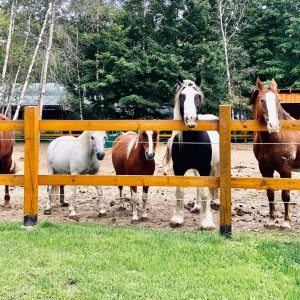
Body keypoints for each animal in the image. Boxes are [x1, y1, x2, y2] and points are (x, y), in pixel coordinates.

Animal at [164, 75, 220, 230]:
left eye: (197, 96)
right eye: (182, 96)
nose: (190, 119)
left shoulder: (205, 168)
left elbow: (205, 192)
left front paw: (206, 222)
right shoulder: (178, 168)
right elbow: (180, 191)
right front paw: (177, 218)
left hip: (217, 164)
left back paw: (216, 202)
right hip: (196, 169)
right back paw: (197, 206)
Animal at [251, 78, 300, 229]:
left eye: (279, 100)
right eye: (262, 100)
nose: (274, 126)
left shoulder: (286, 169)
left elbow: (286, 195)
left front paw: (286, 221)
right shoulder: (265, 169)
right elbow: (270, 193)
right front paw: (271, 220)